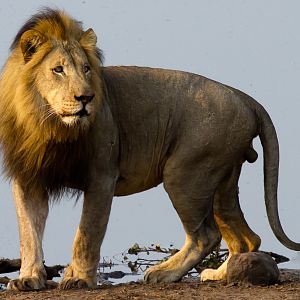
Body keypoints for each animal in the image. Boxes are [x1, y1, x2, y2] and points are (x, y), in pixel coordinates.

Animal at [1, 8, 298, 290]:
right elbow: (29, 233)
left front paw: (80, 279)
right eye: (58, 70)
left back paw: (164, 273)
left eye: (86, 69)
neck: (48, 124)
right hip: (221, 183)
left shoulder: (102, 175)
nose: (86, 98)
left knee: (206, 236)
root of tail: (243, 96)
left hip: (185, 174)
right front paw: (28, 278)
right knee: (245, 238)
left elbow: (87, 232)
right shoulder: (27, 178)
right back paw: (218, 274)